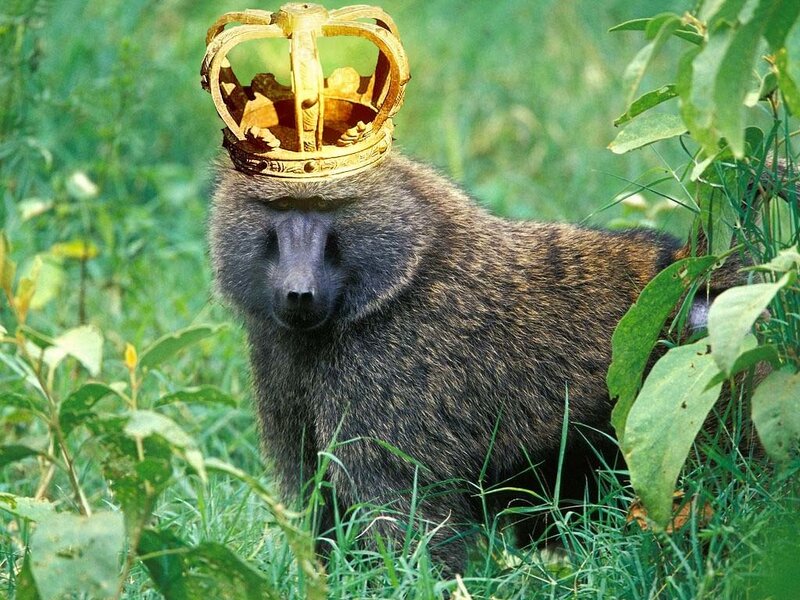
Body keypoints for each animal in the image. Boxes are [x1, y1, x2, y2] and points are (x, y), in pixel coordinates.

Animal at [208, 150, 792, 574]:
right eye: (281, 210)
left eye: (326, 210)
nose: (298, 293)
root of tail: (700, 275)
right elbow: (326, 506)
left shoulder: (383, 379)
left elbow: (405, 519)